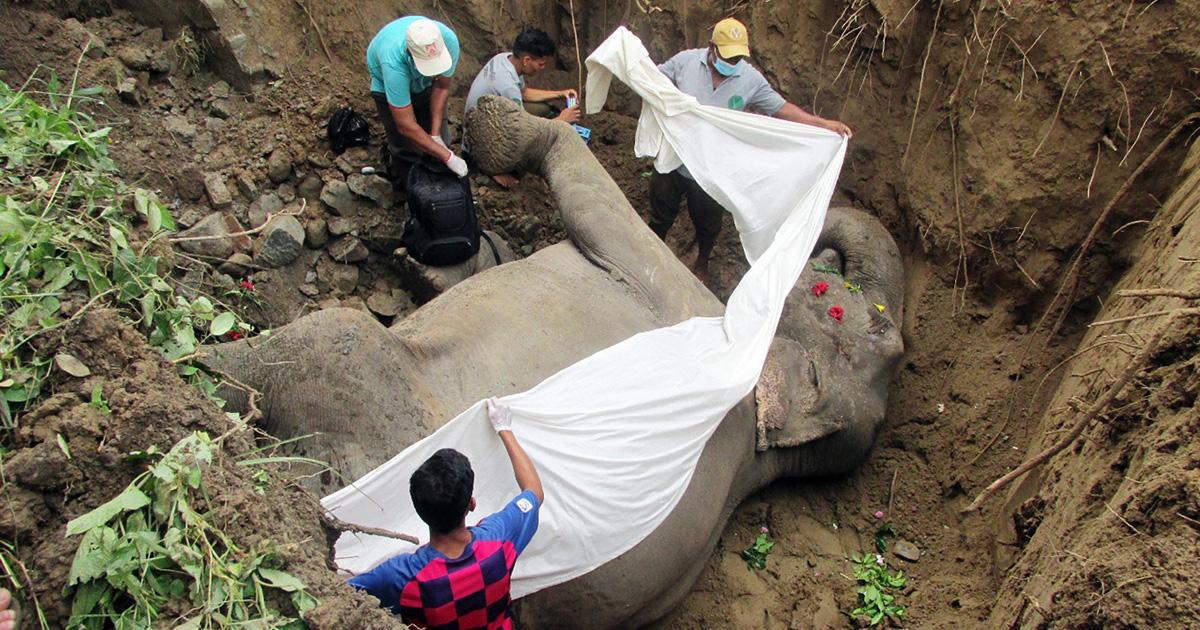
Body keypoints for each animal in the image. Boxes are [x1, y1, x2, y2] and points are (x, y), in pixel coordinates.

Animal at [206, 96, 902, 624]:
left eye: (873, 328)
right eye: (835, 293)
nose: (844, 138)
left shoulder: (658, 280)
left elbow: (596, 200)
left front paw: (492, 125)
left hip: (361, 394)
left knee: (322, 340)